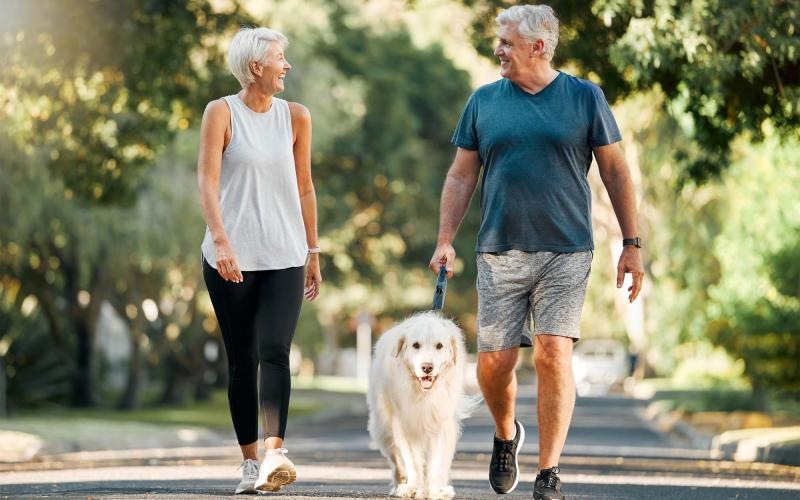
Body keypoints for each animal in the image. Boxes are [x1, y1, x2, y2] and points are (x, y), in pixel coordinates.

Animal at [368, 310, 476, 498]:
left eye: (439, 346)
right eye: (415, 345)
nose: (427, 367)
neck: (424, 395)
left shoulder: (441, 425)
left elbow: (437, 462)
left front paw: (437, 490)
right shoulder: (405, 425)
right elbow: (411, 461)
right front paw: (413, 487)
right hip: (384, 428)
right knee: (397, 461)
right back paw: (401, 485)